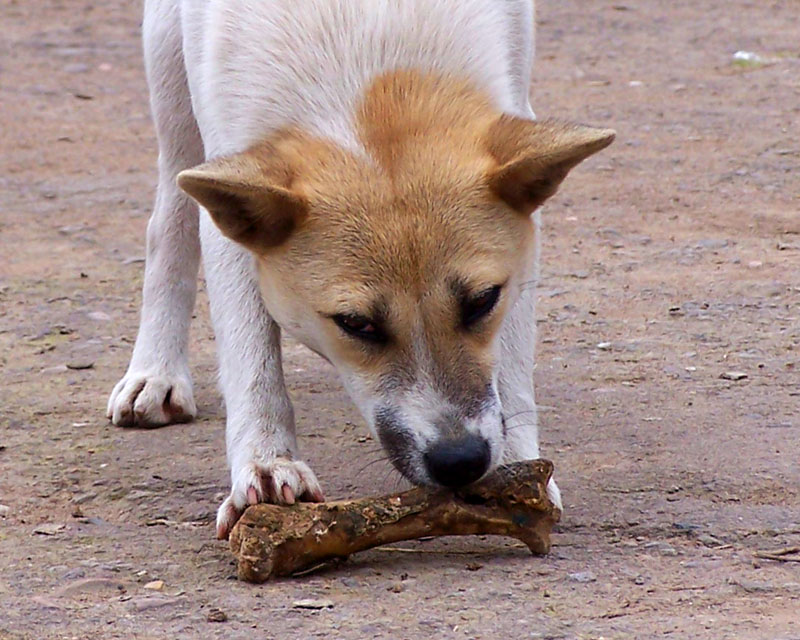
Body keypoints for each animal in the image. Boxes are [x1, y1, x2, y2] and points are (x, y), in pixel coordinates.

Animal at [108, 0, 612, 540]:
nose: (459, 461)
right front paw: (266, 465)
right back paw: (156, 372)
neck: (365, 69)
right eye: (356, 324)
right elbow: (251, 358)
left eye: (481, 302)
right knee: (169, 221)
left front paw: (518, 470)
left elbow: (513, 362)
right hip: (169, 75)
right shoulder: (232, 198)